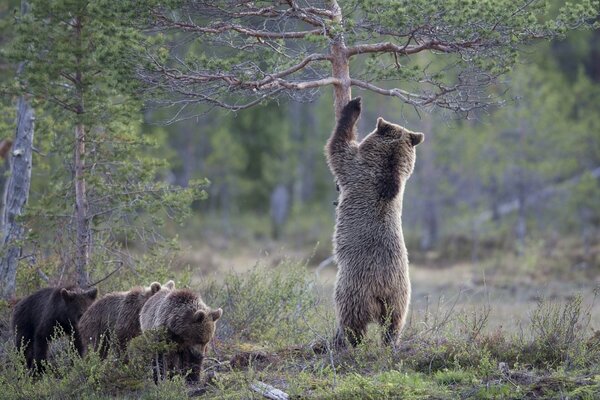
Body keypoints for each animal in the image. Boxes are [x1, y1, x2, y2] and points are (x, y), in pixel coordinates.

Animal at [326, 97, 424, 346]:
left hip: (355, 288)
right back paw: (391, 341)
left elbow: (337, 147)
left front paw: (353, 106)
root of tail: (383, 288)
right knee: (394, 323)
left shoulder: (354, 168)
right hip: (401, 295)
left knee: (352, 317)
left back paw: (349, 340)